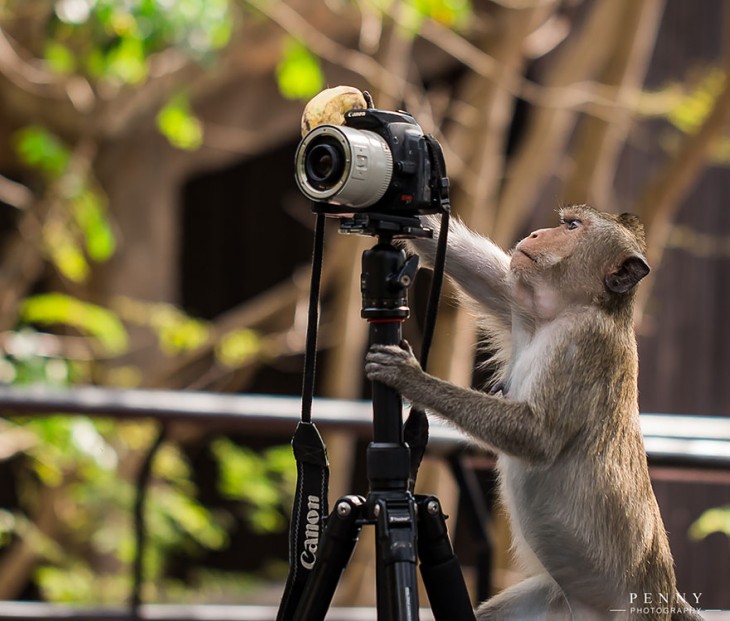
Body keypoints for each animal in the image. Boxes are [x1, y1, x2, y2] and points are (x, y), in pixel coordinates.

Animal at [366, 206, 704, 616]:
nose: (537, 233)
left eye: (572, 226)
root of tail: (666, 593)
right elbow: (473, 267)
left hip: (637, 610)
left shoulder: (587, 342)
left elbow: (535, 436)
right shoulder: (525, 302)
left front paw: (410, 377)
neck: (578, 307)